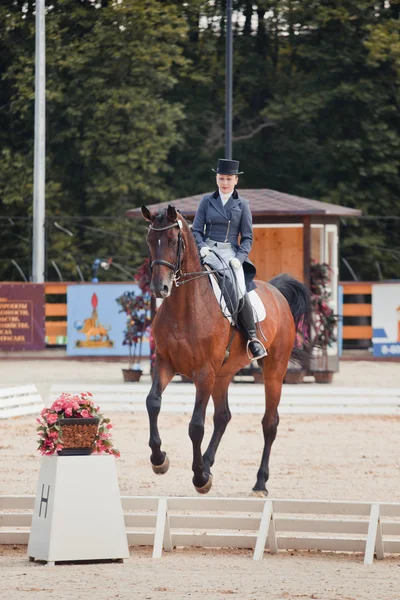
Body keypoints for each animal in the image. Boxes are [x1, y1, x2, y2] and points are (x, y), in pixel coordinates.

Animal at [142, 204, 310, 494]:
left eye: (174, 241)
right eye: (150, 241)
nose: (159, 288)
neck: (186, 307)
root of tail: (276, 292)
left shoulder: (203, 373)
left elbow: (196, 425)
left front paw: (199, 477)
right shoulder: (165, 363)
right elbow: (153, 403)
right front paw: (159, 459)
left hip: (273, 372)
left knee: (270, 423)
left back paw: (259, 482)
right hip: (223, 374)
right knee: (223, 416)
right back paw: (208, 464)